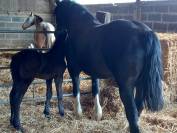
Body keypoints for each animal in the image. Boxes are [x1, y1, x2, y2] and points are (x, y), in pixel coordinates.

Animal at [54, 1, 164, 133]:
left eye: (56, 12)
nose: (56, 33)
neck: (80, 28)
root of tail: (145, 33)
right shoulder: (94, 72)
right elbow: (95, 89)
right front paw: (97, 114)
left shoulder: (73, 69)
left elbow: (76, 90)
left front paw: (78, 113)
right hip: (140, 84)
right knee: (139, 107)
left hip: (126, 87)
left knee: (132, 113)